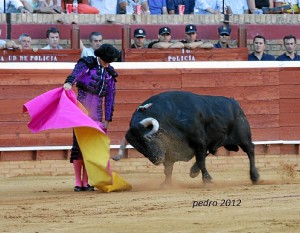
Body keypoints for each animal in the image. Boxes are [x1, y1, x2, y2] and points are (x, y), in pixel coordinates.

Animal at [113, 91, 258, 186]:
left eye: (147, 139)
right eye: (138, 148)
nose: (156, 160)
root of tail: (234, 102)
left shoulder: (199, 142)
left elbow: (201, 161)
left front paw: (207, 180)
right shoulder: (169, 151)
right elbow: (168, 169)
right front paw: (166, 184)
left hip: (243, 137)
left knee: (250, 151)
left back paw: (255, 177)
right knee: (210, 151)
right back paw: (193, 171)